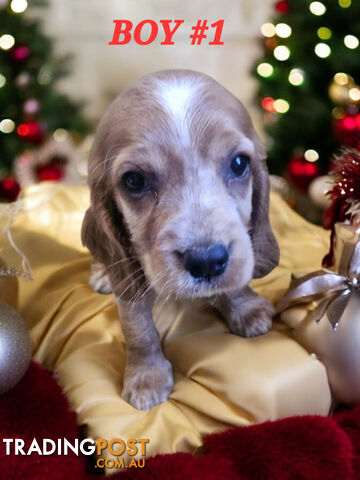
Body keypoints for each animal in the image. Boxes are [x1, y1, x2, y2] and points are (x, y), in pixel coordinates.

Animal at [81, 69, 278, 410]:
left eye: (239, 164)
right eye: (135, 181)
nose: (207, 262)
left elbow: (235, 280)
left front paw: (246, 309)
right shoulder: (131, 284)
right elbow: (139, 329)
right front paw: (147, 378)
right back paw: (103, 274)